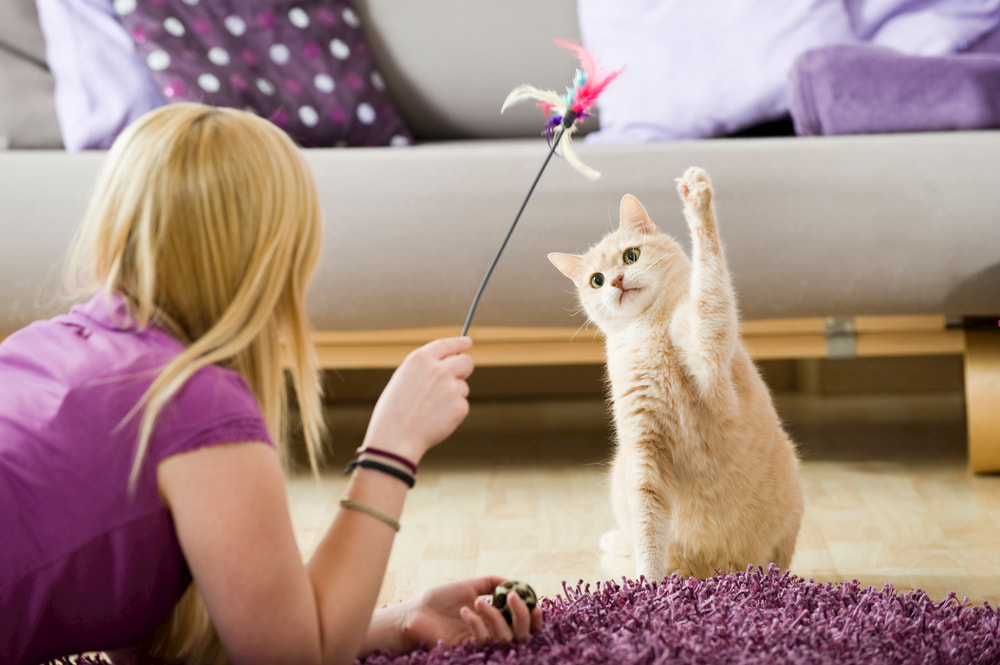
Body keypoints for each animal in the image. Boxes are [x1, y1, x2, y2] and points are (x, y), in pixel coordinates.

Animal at [548, 167, 804, 580]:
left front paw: (697, 200)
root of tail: (714, 568)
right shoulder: (644, 454)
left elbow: (710, 273)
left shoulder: (707, 338)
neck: (648, 331)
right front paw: (648, 583)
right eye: (596, 280)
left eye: (631, 255)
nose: (616, 282)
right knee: (638, 537)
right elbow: (648, 530)